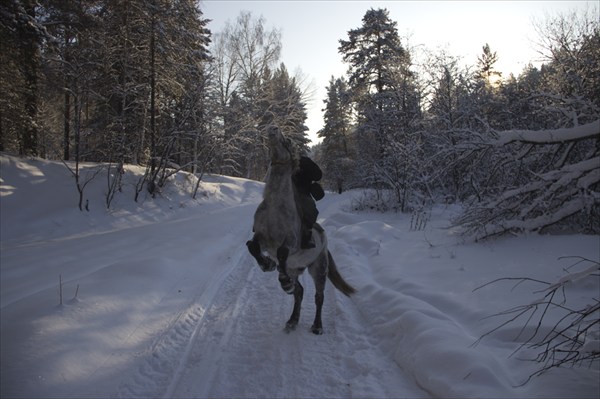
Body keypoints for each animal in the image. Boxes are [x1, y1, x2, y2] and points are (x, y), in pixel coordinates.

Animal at [245, 126, 354, 334]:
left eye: (287, 141)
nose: (272, 129)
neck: (274, 207)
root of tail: (325, 243)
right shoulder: (261, 237)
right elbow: (251, 246)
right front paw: (267, 265)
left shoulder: (291, 242)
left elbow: (281, 251)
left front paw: (281, 278)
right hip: (295, 269)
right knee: (300, 292)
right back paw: (292, 319)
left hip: (318, 269)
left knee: (319, 297)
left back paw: (317, 326)